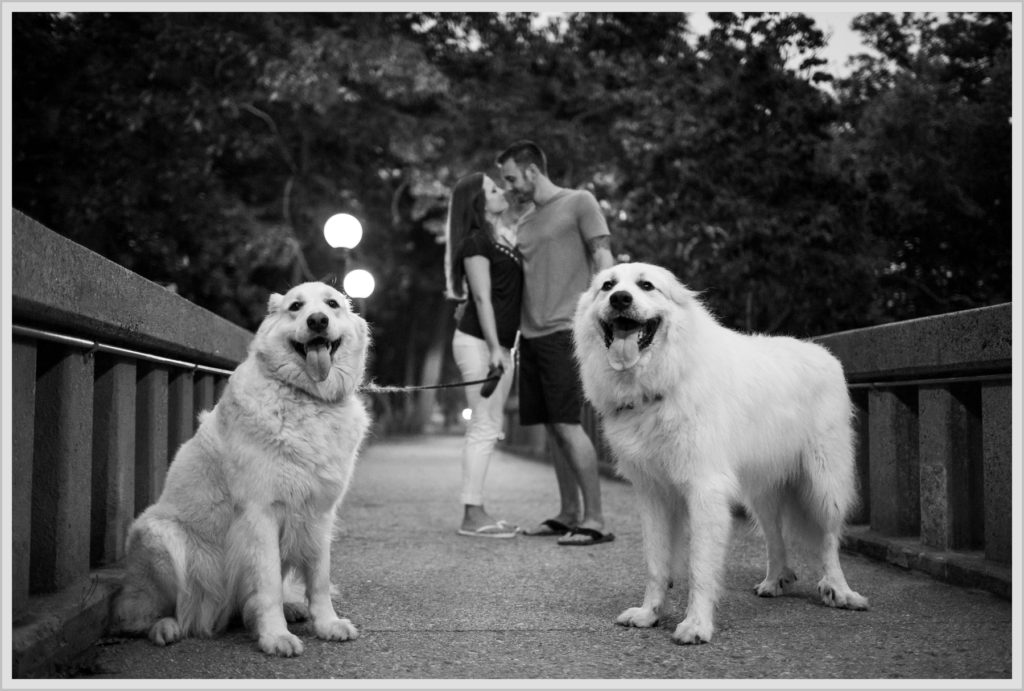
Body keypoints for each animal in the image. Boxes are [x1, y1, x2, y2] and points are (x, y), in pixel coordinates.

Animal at [111, 282, 372, 659]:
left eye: (332, 304)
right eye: (296, 307)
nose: (318, 320)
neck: (307, 397)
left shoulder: (319, 515)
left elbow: (319, 579)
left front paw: (326, 624)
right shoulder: (261, 514)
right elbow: (268, 585)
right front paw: (275, 637)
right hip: (160, 536)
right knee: (139, 615)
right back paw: (165, 627)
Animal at [573, 262, 868, 646]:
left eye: (646, 286)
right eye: (607, 286)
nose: (620, 299)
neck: (664, 381)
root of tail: (824, 353)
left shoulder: (705, 490)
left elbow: (700, 567)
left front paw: (697, 626)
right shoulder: (653, 494)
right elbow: (656, 563)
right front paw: (649, 614)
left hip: (824, 482)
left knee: (829, 538)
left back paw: (839, 590)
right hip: (762, 492)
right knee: (775, 536)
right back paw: (775, 581)